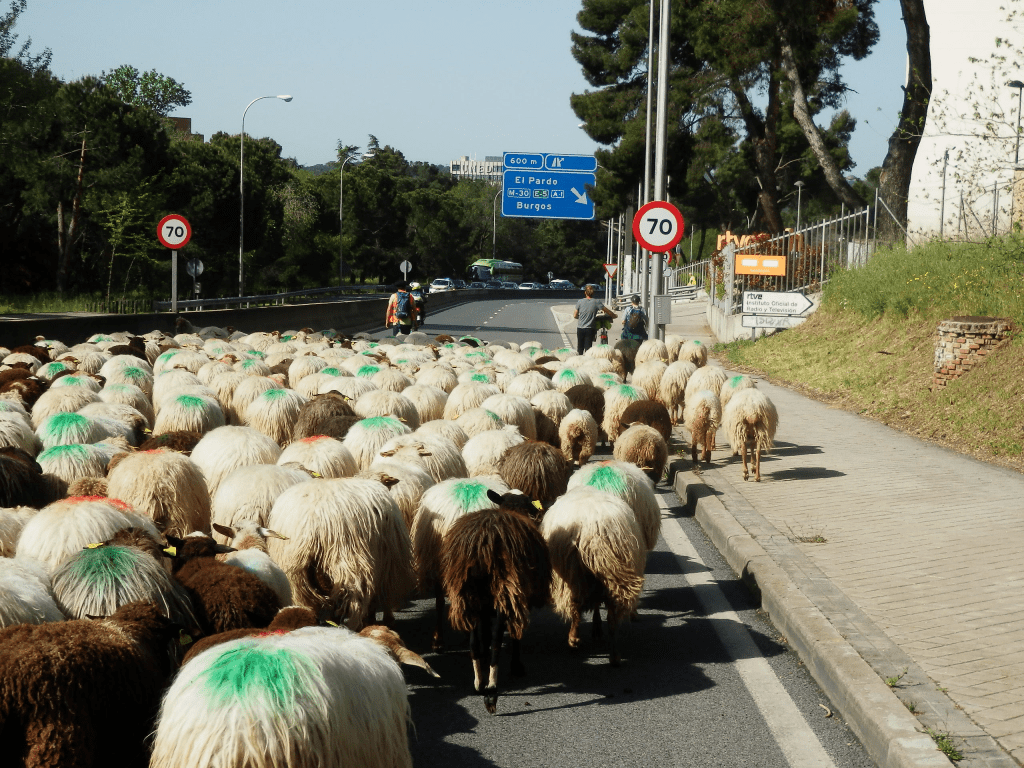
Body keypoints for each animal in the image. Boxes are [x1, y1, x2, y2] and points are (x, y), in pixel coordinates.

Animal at [267, 478, 415, 627]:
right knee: (353, 596)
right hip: (349, 559)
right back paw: (353, 624)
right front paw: (382, 619)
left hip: (296, 573)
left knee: (309, 600)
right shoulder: (389, 563)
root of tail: (316, 522)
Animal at [440, 490, 551, 713]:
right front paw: (517, 666)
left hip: (468, 594)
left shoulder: (483, 607)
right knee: (497, 640)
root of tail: (482, 544)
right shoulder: (517, 597)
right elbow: (515, 635)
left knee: (473, 642)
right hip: (504, 590)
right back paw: (491, 691)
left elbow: (482, 635)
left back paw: (479, 683)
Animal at [541, 487, 646, 666]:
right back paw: (614, 656)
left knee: (576, 606)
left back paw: (574, 640)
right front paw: (596, 627)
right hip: (614, 576)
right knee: (612, 618)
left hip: (572, 574)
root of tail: (595, 532)